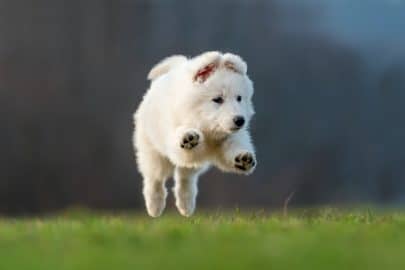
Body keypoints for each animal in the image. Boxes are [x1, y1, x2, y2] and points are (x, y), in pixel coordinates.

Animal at [134, 51, 258, 217]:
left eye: (239, 98)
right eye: (217, 99)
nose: (240, 120)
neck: (208, 129)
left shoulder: (229, 137)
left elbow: (234, 147)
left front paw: (243, 159)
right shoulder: (175, 135)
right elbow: (181, 136)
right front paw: (188, 137)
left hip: (192, 166)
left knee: (185, 178)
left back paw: (186, 205)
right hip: (153, 151)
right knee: (155, 178)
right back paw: (155, 206)